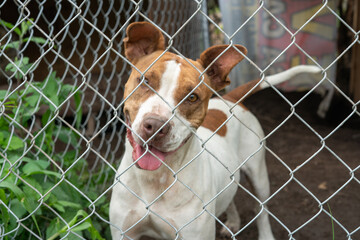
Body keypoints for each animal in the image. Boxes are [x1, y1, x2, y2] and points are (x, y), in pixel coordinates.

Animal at [109, 21, 320, 239]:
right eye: (145, 80)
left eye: (192, 97)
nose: (155, 125)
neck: (154, 180)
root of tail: (230, 98)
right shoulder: (123, 232)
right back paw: (233, 222)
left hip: (259, 175)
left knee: (261, 209)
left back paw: (265, 234)